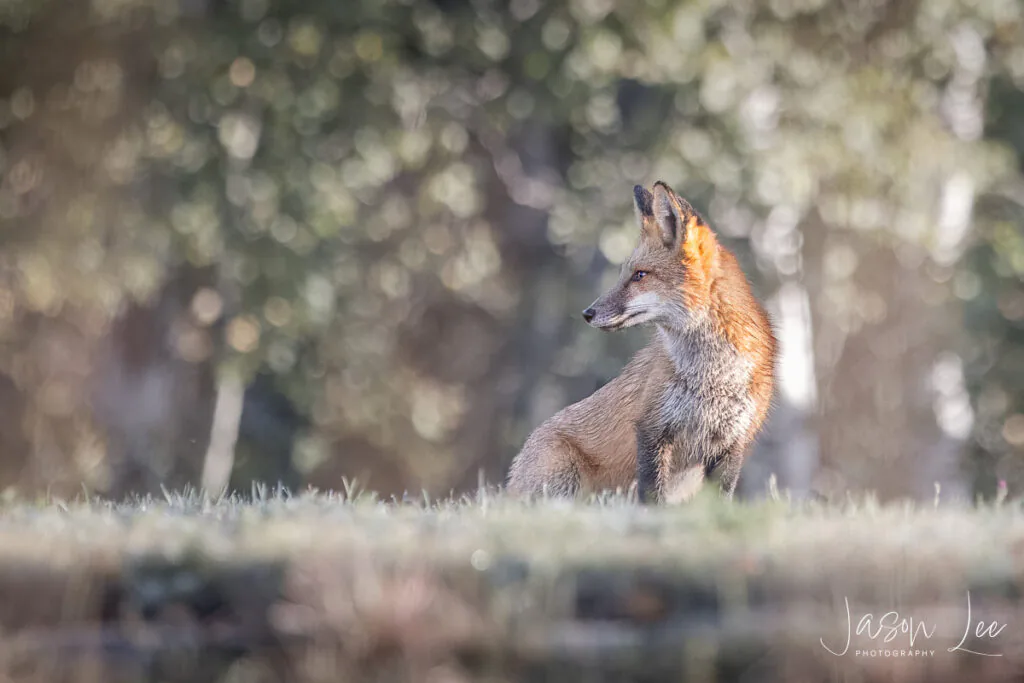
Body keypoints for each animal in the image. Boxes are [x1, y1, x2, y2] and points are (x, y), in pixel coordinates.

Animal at [507, 181, 776, 503]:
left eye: (640, 275)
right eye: (627, 274)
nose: (587, 313)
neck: (713, 377)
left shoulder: (733, 441)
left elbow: (718, 500)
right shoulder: (652, 427)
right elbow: (652, 495)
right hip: (562, 478)